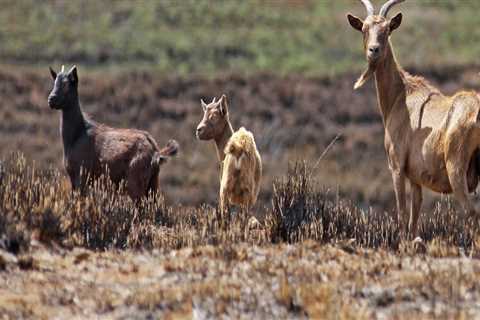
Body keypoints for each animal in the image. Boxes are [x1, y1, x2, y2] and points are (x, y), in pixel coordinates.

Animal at [47, 66, 178, 199]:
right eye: (54, 82)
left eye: (67, 84)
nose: (51, 99)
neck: (78, 134)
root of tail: (155, 152)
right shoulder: (74, 178)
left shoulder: (81, 175)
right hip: (152, 184)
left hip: (135, 182)